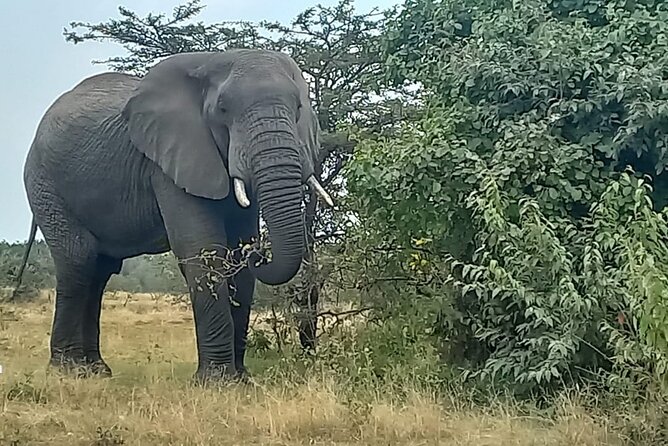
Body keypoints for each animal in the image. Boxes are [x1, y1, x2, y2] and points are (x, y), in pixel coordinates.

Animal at [14, 49, 333, 382]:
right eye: (222, 110)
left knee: (99, 272)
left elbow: (237, 256)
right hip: (45, 183)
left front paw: (242, 379)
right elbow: (204, 250)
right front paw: (217, 383)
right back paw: (69, 372)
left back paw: (97, 371)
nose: (259, 256)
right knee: (78, 262)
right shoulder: (169, 162)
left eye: (298, 108)